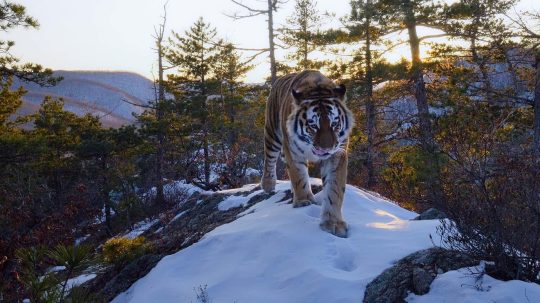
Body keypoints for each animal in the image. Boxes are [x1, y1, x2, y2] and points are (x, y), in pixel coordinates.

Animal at [260, 70, 354, 239]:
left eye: (334, 124)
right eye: (313, 126)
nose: (326, 148)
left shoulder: (337, 154)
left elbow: (334, 189)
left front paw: (333, 223)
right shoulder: (292, 151)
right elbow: (299, 177)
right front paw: (304, 202)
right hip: (272, 134)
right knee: (269, 159)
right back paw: (268, 184)